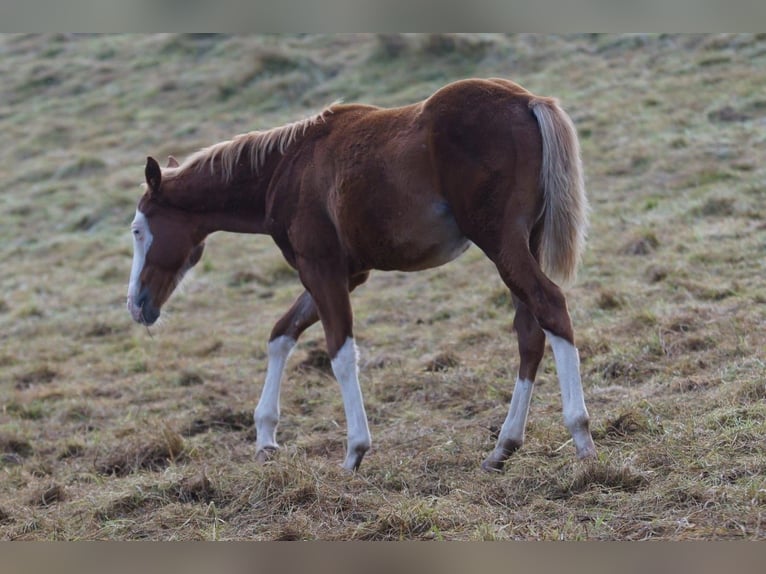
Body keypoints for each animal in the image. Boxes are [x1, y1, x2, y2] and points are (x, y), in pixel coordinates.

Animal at [126, 77, 596, 472]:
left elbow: (339, 352)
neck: (287, 166)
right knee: (530, 333)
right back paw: (503, 447)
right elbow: (281, 334)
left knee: (551, 307)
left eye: (137, 229)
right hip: (522, 244)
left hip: (501, 243)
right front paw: (265, 438)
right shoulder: (345, 273)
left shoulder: (320, 269)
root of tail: (527, 101)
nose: (136, 304)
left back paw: (581, 437)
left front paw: (354, 452)